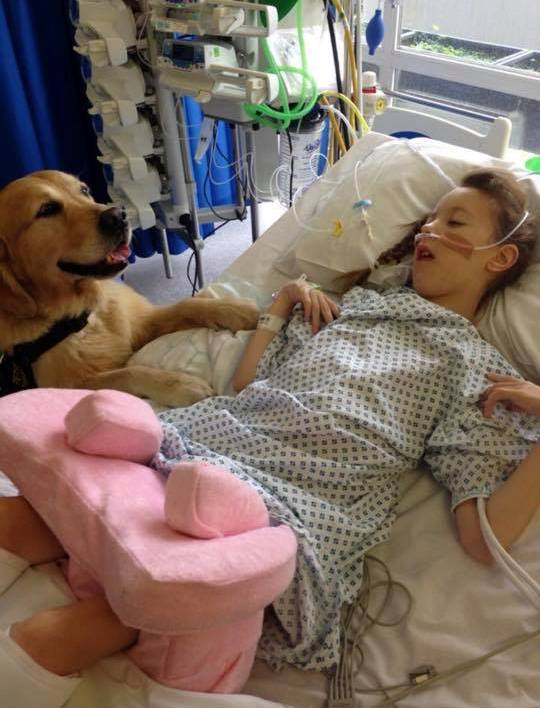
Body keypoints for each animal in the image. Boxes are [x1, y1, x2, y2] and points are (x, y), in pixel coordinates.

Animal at [0, 168, 260, 406]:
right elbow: (128, 372)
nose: (118, 215)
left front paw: (236, 310)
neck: (82, 316)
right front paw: (182, 384)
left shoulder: (143, 323)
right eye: (46, 210)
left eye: (84, 190)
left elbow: (188, 305)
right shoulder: (70, 387)